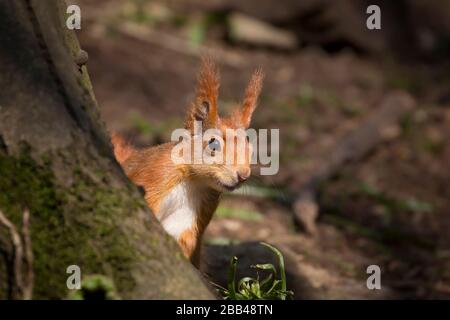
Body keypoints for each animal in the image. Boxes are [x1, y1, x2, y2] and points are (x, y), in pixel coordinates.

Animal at [111, 58, 264, 268]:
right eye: (213, 143)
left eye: (251, 149)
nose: (243, 175)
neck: (194, 181)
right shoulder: (155, 176)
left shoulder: (196, 213)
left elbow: (186, 240)